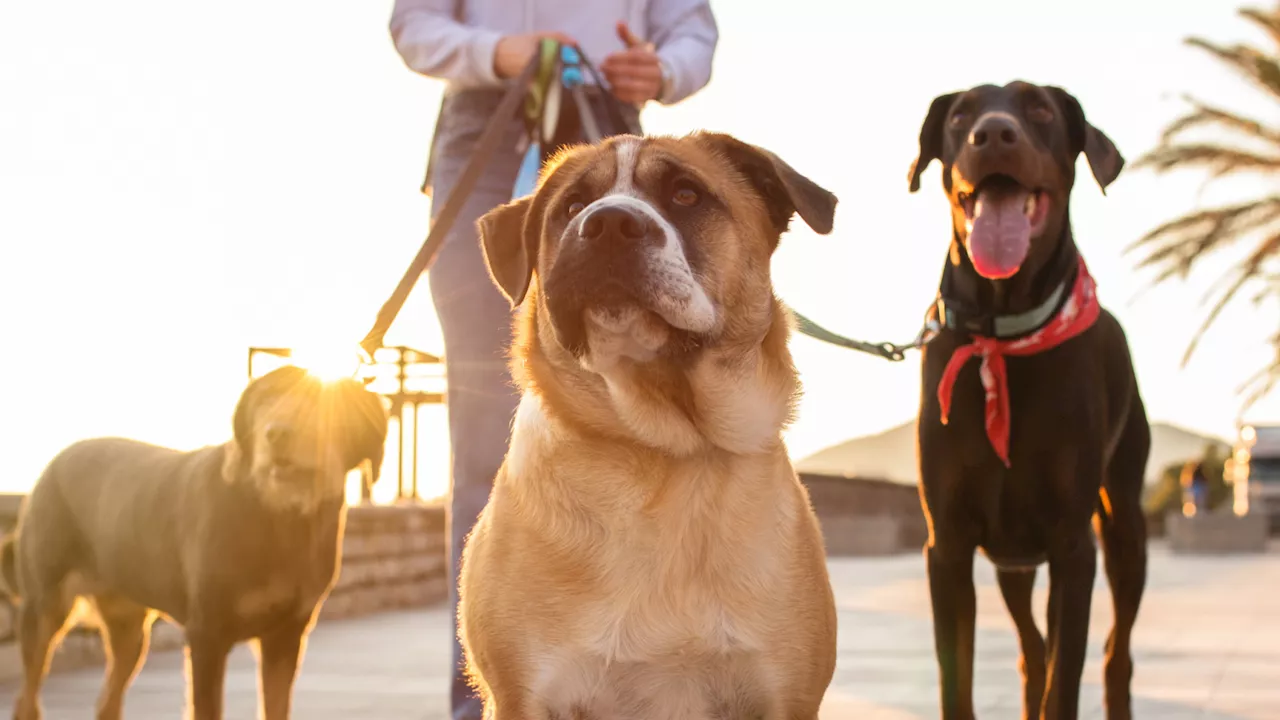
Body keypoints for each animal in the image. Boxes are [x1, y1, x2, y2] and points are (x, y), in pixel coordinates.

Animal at [2, 363, 386, 717]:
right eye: (265, 399)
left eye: (323, 403)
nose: (276, 433)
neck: (278, 515)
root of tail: (52, 465)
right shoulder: (207, 636)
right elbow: (208, 706)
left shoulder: (286, 636)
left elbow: (276, 705)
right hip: (45, 607)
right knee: (28, 695)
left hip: (129, 629)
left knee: (108, 697)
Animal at [460, 131, 839, 712]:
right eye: (571, 205)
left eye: (686, 195)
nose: (608, 223)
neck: (664, 451)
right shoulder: (522, 698)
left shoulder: (786, 696)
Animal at [911, 79, 1152, 717]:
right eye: (960, 115)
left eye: (1040, 108)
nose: (993, 133)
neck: (1002, 335)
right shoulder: (948, 545)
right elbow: (957, 681)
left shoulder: (1073, 548)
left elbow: (1064, 680)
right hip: (1011, 558)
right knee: (1031, 648)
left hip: (1124, 525)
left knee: (1115, 652)